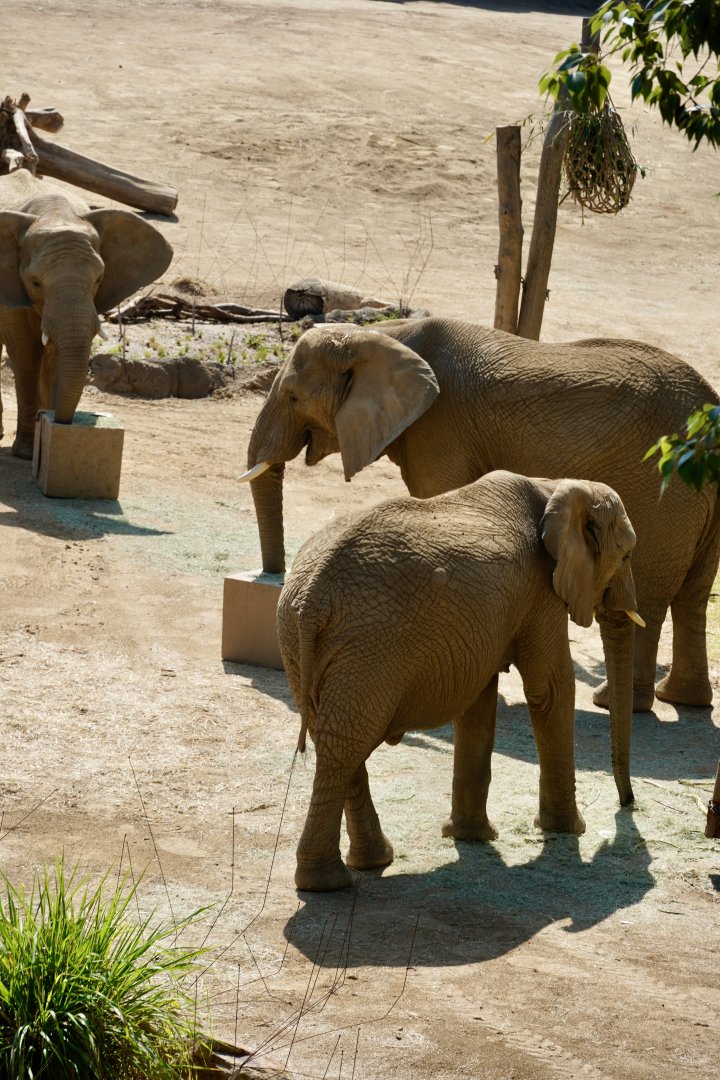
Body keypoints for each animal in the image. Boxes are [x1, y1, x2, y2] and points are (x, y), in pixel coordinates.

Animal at [0, 169, 172, 458]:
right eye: (35, 283)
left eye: (98, 278)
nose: (57, 421)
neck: (54, 212)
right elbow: (25, 353)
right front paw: (25, 452)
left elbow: (58, 353)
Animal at [242, 317, 720, 714]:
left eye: (293, 396)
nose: (273, 574)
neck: (381, 335)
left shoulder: (441, 431)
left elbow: (440, 497)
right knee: (692, 595)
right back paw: (681, 699)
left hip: (663, 490)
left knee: (652, 596)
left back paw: (615, 703)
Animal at [278, 470, 640, 892]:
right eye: (627, 554)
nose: (628, 803)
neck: (555, 486)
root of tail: (312, 597)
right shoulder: (540, 589)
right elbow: (549, 690)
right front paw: (570, 829)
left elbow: (478, 701)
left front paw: (472, 837)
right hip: (366, 647)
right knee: (346, 743)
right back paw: (328, 883)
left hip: (301, 639)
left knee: (335, 739)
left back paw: (366, 865)